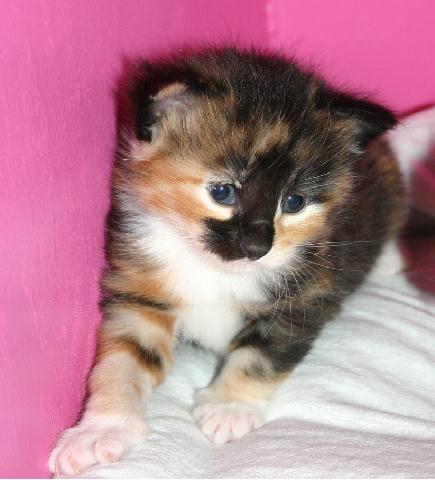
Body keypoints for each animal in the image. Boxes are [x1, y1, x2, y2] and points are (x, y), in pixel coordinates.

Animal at [49, 47, 406, 475]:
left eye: (294, 202)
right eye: (223, 193)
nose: (256, 247)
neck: (214, 270)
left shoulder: (304, 297)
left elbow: (261, 355)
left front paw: (228, 408)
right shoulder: (140, 289)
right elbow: (123, 359)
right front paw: (102, 429)